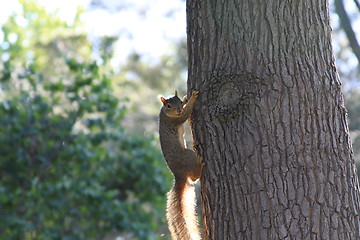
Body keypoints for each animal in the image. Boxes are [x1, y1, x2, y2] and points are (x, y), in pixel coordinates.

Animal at [159, 90, 204, 240]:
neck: (164, 113)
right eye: (168, 105)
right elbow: (186, 114)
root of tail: (178, 175)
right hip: (188, 154)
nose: (178, 109)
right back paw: (200, 165)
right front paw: (193, 98)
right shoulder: (175, 120)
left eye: (178, 101)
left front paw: (186, 99)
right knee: (194, 177)